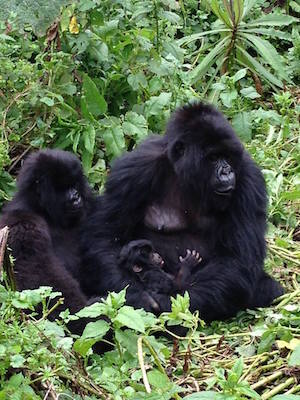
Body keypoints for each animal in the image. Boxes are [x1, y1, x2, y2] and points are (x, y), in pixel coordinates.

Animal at [0, 148, 94, 326]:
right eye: (62, 187)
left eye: (74, 184)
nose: (76, 197)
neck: (44, 211)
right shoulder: (22, 225)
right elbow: (43, 284)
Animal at [81, 103, 282, 322]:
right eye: (213, 158)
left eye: (227, 157)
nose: (227, 171)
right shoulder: (134, 170)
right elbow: (105, 238)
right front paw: (137, 298)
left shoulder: (248, 178)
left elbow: (238, 260)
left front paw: (158, 303)